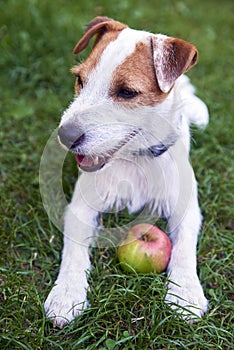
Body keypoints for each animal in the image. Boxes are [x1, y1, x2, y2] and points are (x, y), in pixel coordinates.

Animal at [44, 17, 208, 328]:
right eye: (80, 80)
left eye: (127, 92)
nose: (65, 136)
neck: (136, 159)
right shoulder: (80, 208)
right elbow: (73, 251)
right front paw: (67, 294)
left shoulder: (186, 208)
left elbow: (184, 248)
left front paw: (186, 292)